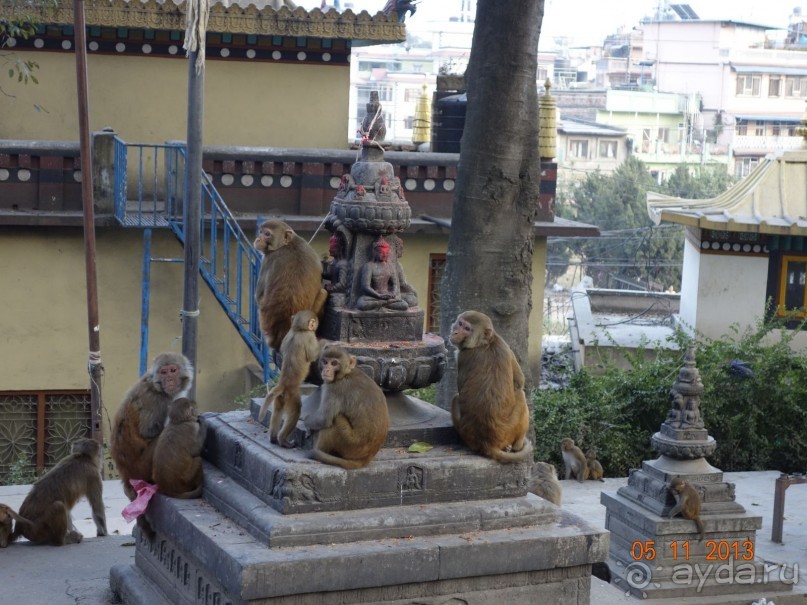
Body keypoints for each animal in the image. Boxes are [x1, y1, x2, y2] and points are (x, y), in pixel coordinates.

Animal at [110, 350, 194, 500]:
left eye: (173, 370)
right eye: (163, 372)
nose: (169, 379)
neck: (157, 387)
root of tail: (125, 475)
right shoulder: (156, 400)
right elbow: (148, 431)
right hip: (140, 469)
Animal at [254, 217, 326, 350]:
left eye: (267, 234)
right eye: (260, 232)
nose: (258, 239)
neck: (288, 243)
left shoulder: (269, 259)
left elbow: (259, 296)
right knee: (324, 292)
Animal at [258, 310, 322, 446]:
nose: (316, 325)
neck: (298, 330)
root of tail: (284, 384)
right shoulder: (309, 337)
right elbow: (312, 355)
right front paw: (323, 343)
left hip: (280, 398)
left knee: (277, 412)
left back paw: (273, 438)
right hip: (291, 396)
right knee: (295, 411)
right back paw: (283, 440)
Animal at [452, 312, 532, 462]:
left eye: (467, 328)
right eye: (460, 323)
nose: (455, 332)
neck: (485, 343)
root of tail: (487, 444)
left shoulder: (463, 356)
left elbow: (519, 381)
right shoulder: (504, 345)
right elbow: (519, 381)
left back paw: (517, 445)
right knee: (520, 393)